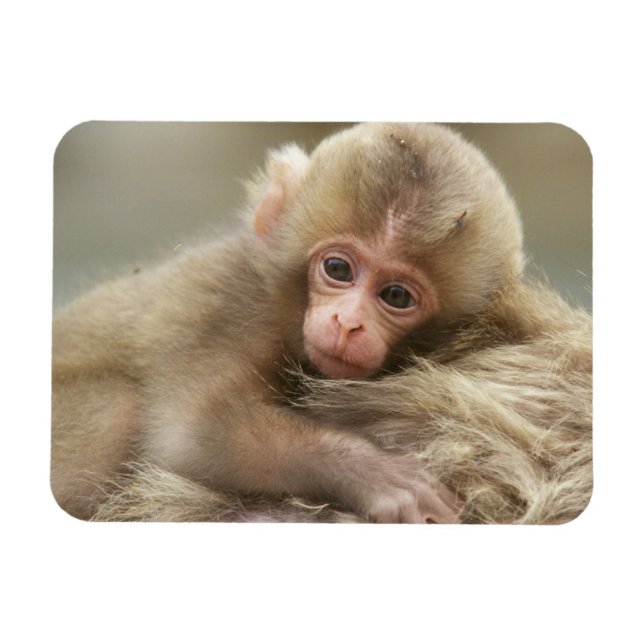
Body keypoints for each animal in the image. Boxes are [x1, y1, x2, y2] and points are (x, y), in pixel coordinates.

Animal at [52, 122, 569, 524]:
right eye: (337, 269)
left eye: (396, 296)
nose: (348, 323)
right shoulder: (230, 306)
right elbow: (191, 433)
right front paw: (376, 476)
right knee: (120, 410)